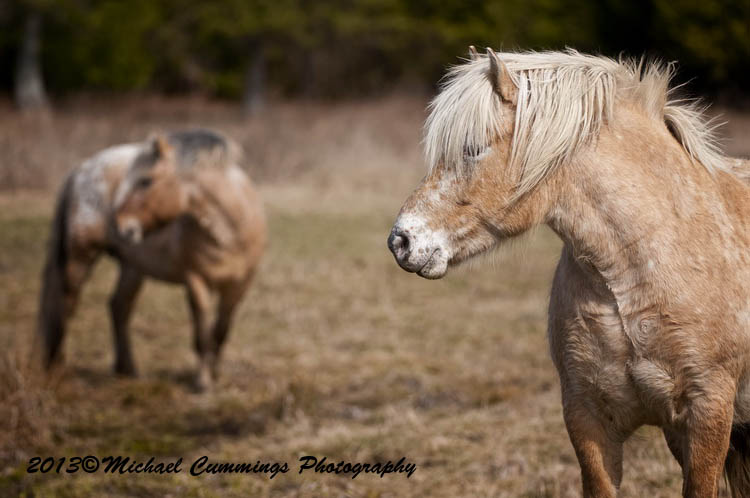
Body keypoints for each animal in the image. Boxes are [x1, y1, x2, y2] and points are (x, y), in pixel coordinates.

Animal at [38, 129, 266, 390]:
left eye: (145, 181)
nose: (118, 225)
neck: (229, 231)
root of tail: (81, 168)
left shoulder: (240, 284)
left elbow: (221, 331)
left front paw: (216, 374)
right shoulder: (195, 280)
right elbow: (201, 332)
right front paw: (202, 381)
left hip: (132, 266)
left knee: (118, 307)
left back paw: (127, 369)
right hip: (80, 255)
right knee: (66, 304)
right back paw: (56, 367)